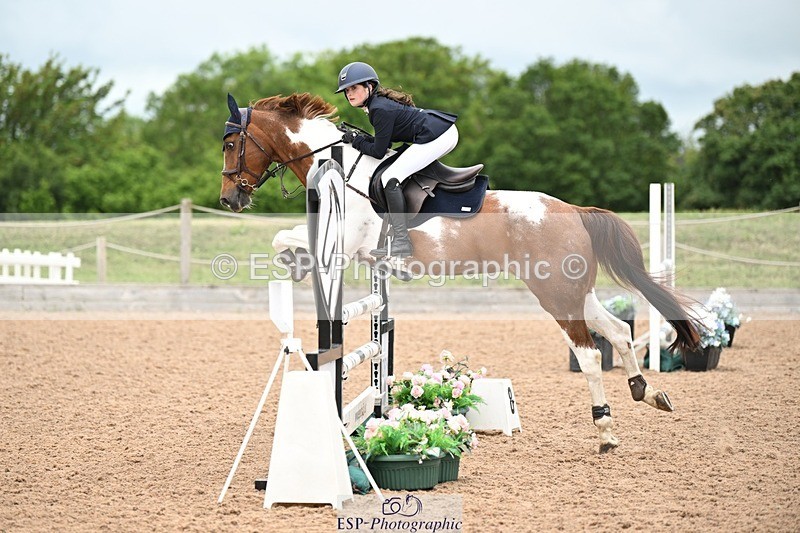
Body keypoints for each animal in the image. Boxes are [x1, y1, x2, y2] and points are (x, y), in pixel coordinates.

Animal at [218, 92, 701, 453]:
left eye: (230, 144)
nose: (229, 199)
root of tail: (574, 210)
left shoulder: (344, 245)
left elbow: (283, 237)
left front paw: (293, 262)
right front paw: (294, 263)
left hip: (555, 296)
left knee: (589, 355)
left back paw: (605, 431)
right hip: (575, 293)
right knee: (618, 331)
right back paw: (648, 393)